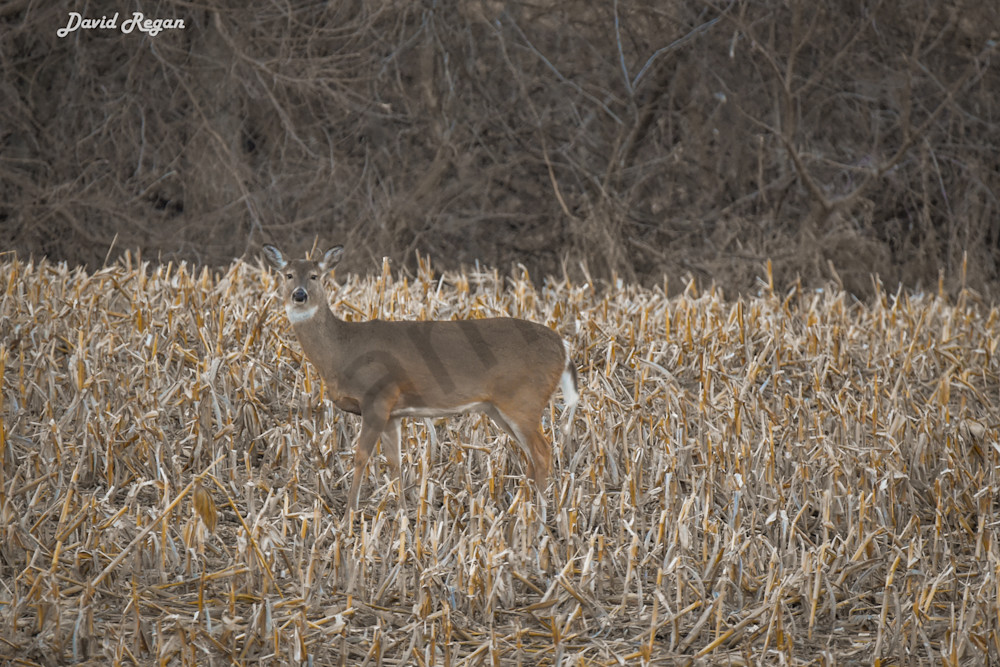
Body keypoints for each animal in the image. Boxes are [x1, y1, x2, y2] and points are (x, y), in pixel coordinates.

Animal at [263, 244, 579, 516]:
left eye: (315, 275)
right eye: (287, 274)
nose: (300, 295)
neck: (342, 350)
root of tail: (563, 347)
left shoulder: (377, 397)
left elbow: (361, 456)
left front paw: (349, 513)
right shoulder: (392, 413)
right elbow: (395, 461)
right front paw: (403, 512)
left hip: (523, 399)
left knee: (543, 452)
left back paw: (539, 518)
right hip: (498, 408)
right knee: (530, 455)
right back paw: (518, 510)